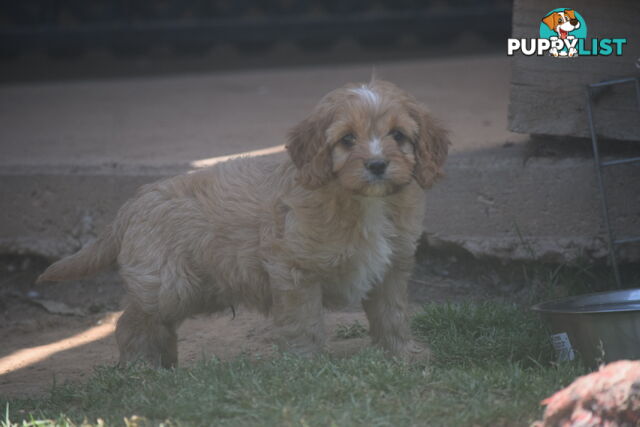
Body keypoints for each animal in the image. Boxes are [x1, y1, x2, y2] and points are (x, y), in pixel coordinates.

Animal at [37, 80, 448, 368]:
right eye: (347, 139)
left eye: (398, 135)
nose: (377, 165)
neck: (363, 202)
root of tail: (134, 202)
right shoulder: (294, 271)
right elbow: (305, 323)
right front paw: (307, 366)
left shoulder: (391, 268)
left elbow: (392, 316)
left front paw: (402, 357)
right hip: (170, 284)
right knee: (132, 322)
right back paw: (141, 369)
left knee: (157, 325)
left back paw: (165, 368)